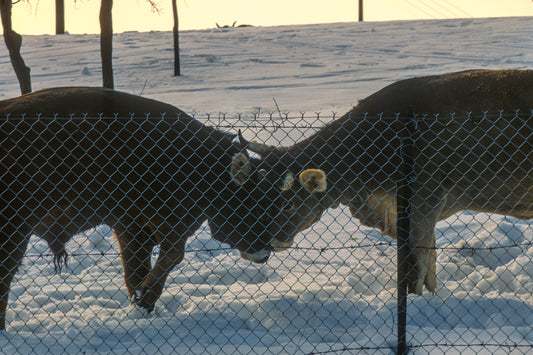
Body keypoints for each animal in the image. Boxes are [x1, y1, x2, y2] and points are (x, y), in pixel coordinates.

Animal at [1, 87, 278, 330]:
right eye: (252, 200)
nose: (265, 252)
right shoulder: (155, 223)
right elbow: (172, 256)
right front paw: (144, 297)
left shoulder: (133, 228)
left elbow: (138, 270)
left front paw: (142, 304)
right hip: (15, 230)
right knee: (6, 273)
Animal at [240, 69, 532, 294]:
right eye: (255, 195)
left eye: (287, 203)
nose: (252, 250)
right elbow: (430, 265)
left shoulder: (422, 202)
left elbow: (418, 265)